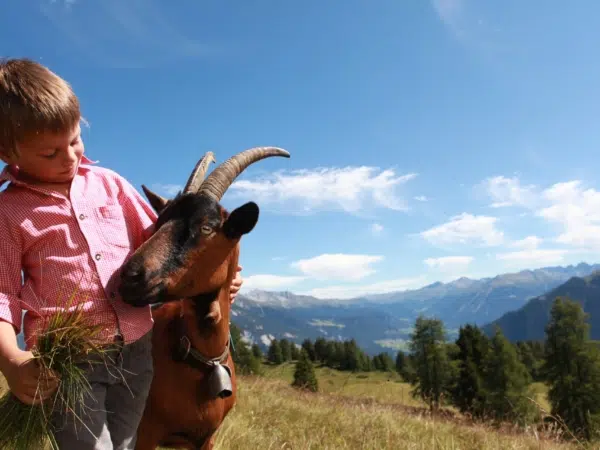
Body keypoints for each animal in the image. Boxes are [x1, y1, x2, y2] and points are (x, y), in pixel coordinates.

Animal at [118, 148, 290, 450]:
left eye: (207, 227)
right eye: (157, 224)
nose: (130, 277)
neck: (203, 359)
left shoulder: (206, 438)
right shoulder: (144, 433)